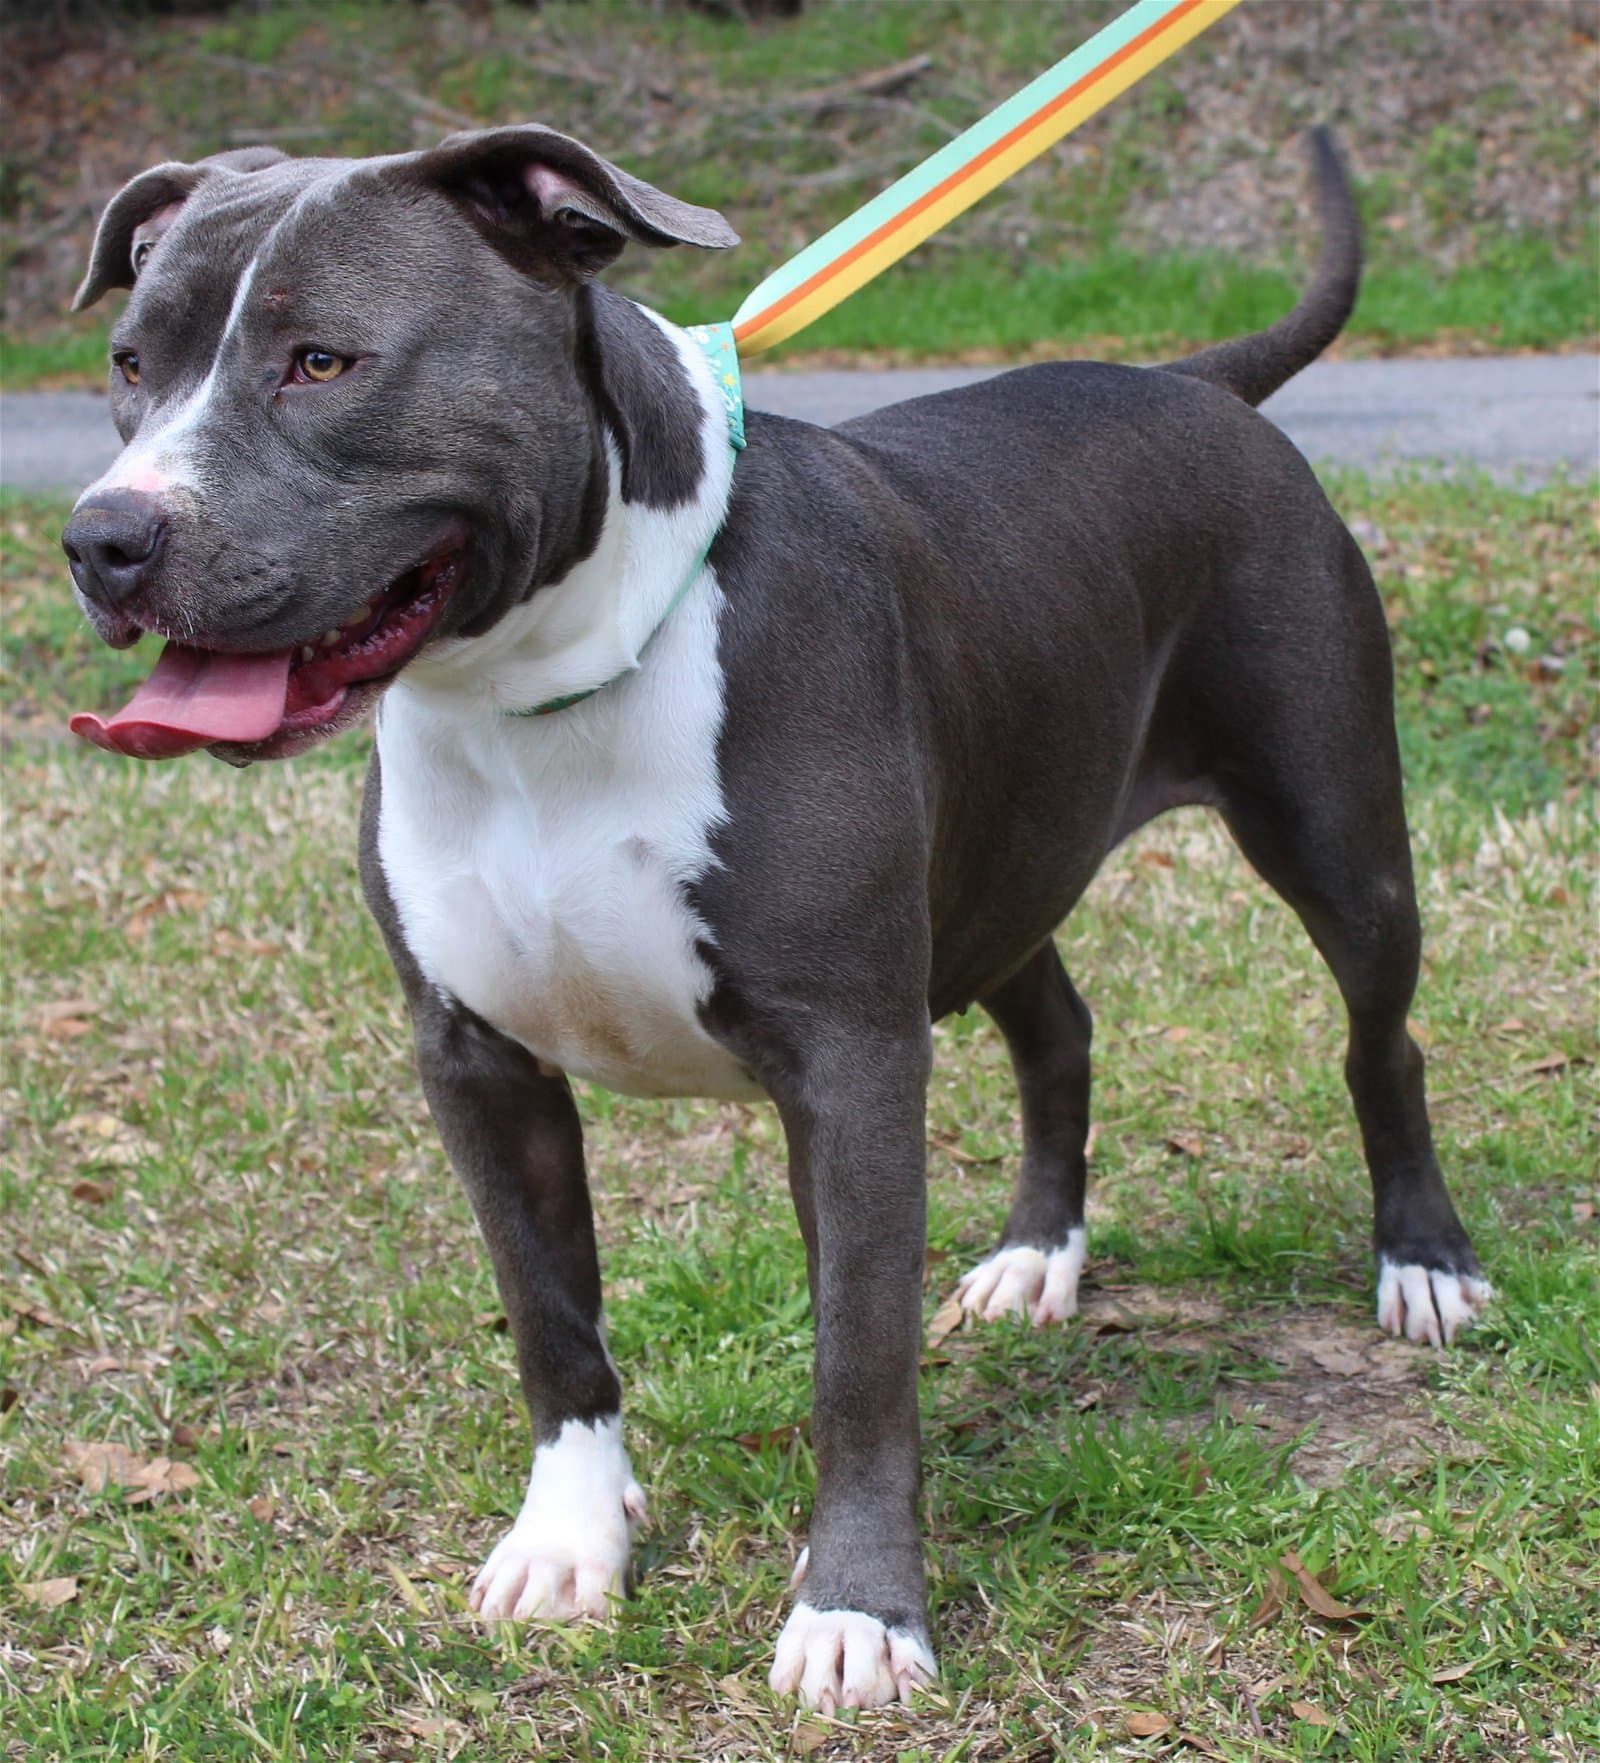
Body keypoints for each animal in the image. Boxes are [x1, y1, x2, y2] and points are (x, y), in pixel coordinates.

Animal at [61, 124, 1490, 1711]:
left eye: (321, 360)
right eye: (131, 362)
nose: (103, 536)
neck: (543, 688)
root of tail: (1192, 380)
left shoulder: (849, 1060)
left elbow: (855, 1356)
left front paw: (857, 1609)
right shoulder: (476, 1060)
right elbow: (551, 1322)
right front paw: (570, 1541)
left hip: (1333, 835)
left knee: (1382, 1039)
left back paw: (1423, 1260)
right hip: (1001, 866)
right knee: (1059, 1026)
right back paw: (1035, 1255)